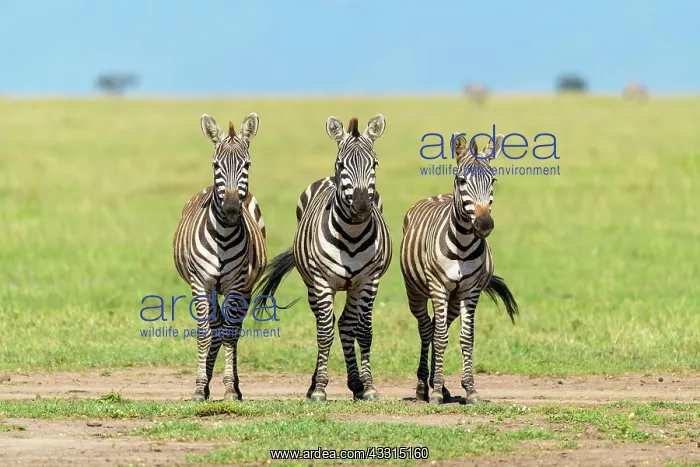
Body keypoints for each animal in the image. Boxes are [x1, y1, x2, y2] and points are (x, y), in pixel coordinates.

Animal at [172, 112, 267, 402]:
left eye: (247, 164)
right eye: (216, 165)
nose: (232, 207)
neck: (223, 235)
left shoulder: (237, 283)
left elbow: (229, 334)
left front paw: (228, 389)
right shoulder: (200, 282)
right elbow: (205, 333)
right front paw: (199, 388)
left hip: (245, 288)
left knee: (232, 330)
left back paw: (235, 386)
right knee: (216, 326)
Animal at [254, 115, 392, 402]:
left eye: (374, 163)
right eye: (342, 164)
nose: (362, 206)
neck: (351, 235)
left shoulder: (369, 280)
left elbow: (364, 331)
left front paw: (369, 387)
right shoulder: (321, 281)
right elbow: (324, 332)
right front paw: (319, 389)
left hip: (353, 286)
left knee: (347, 324)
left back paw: (356, 384)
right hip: (313, 286)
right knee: (324, 322)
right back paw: (315, 384)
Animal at [399, 132, 519, 405]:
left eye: (493, 180)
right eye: (463, 180)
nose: (484, 224)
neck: (463, 244)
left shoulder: (470, 291)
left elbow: (466, 338)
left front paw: (470, 389)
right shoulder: (438, 288)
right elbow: (440, 338)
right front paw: (434, 392)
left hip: (454, 300)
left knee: (436, 326)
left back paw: (440, 386)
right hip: (417, 293)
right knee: (427, 329)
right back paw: (424, 387)